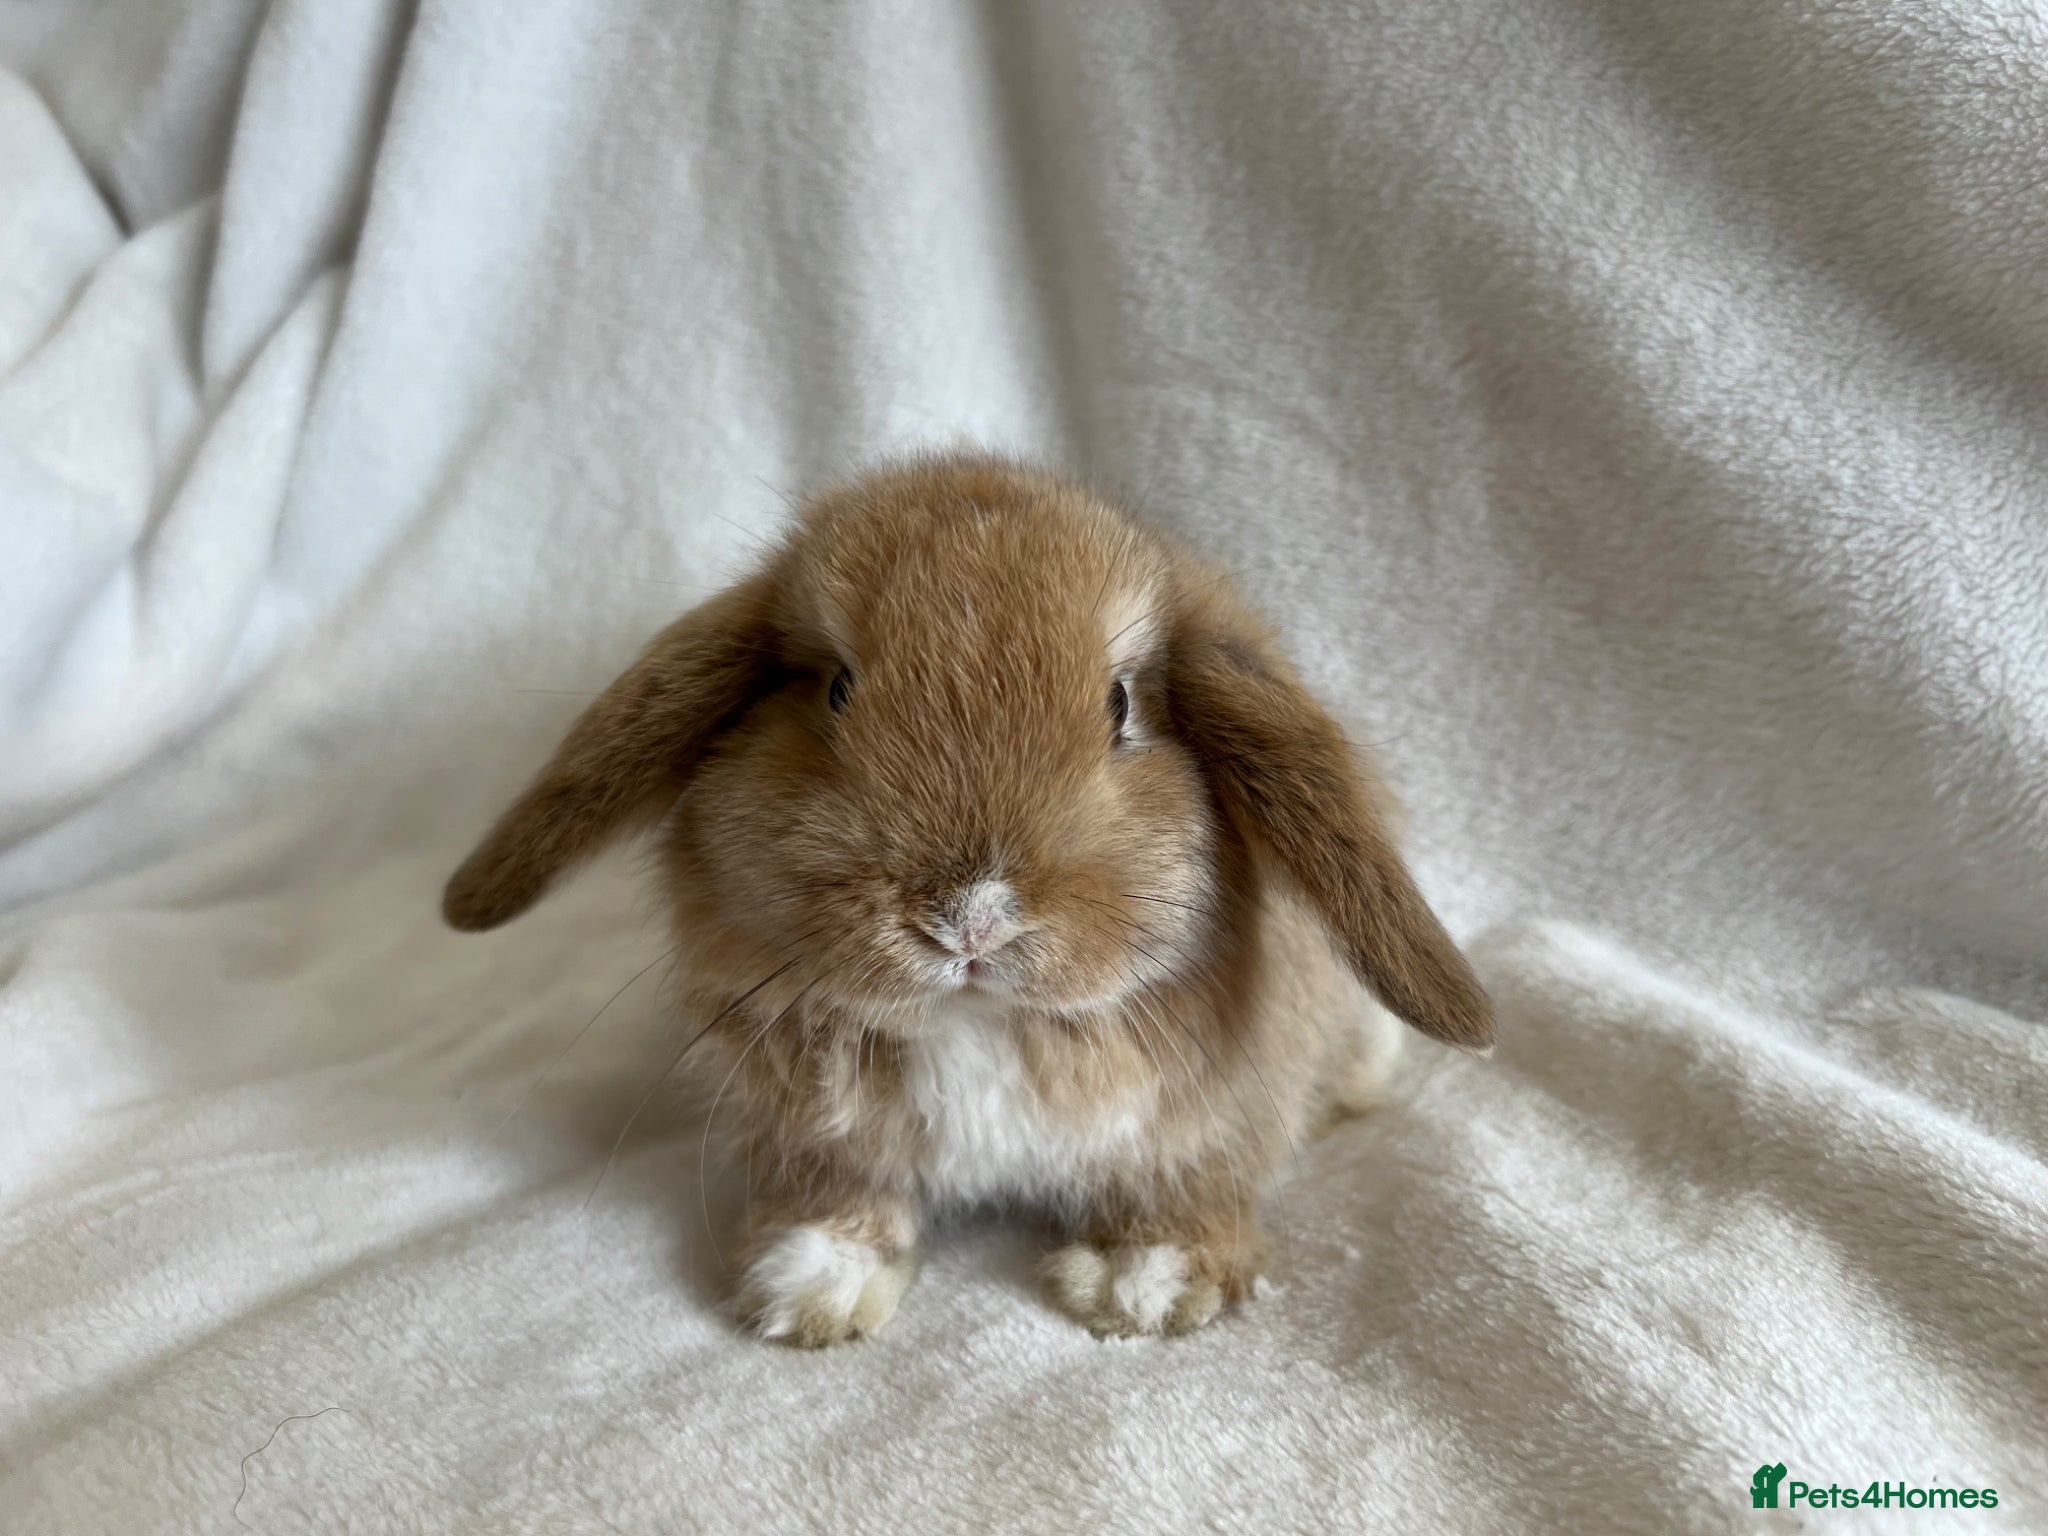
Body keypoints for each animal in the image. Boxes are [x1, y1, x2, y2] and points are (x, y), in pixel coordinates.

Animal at [443, 452, 1492, 1344]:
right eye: (836, 690)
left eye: (1121, 704)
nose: (972, 918)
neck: (982, 1024)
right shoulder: (813, 1130)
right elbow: (837, 1196)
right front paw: (809, 1284)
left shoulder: (1217, 1112)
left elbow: (1189, 1182)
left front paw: (1148, 1284)